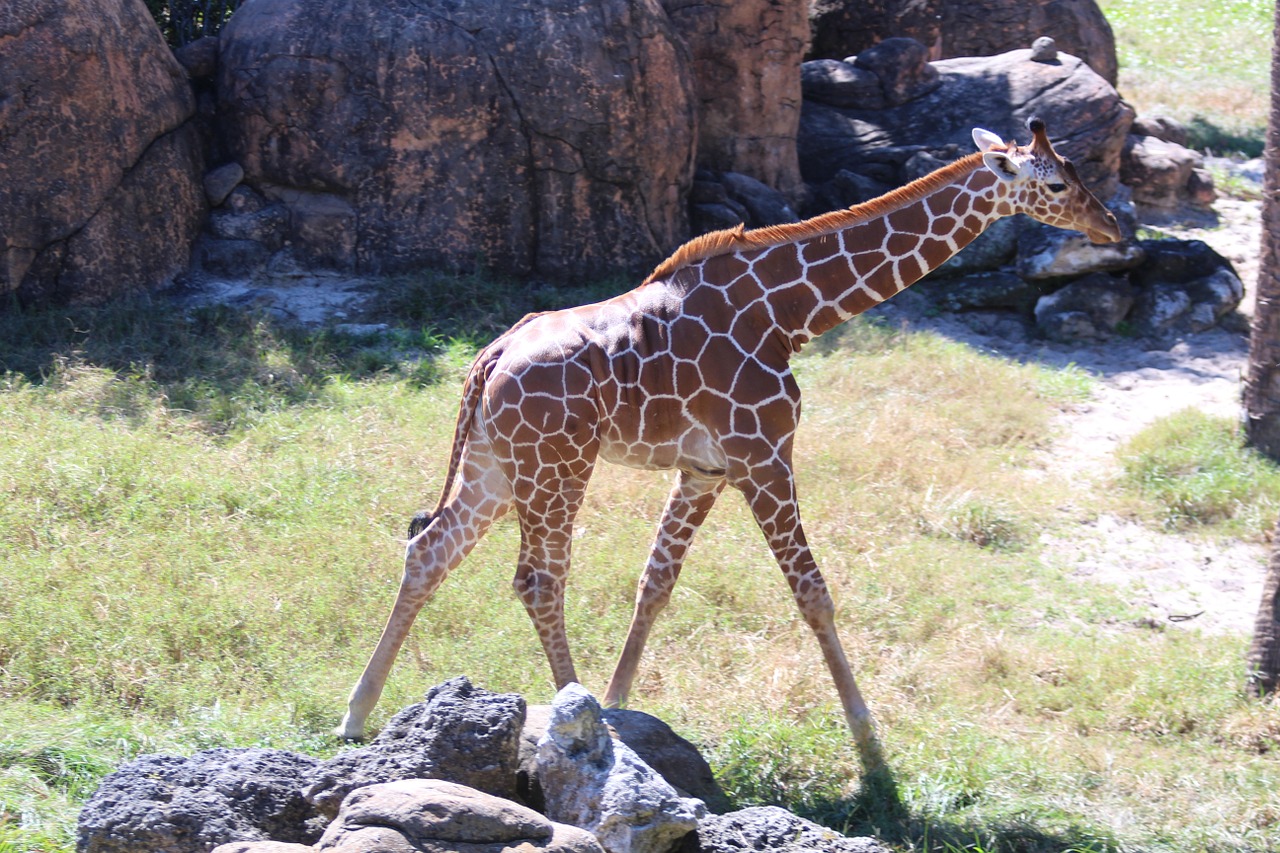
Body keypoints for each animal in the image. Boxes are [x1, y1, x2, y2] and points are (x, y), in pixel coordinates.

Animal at [337, 116, 1121, 768]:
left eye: (1078, 172)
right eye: (1057, 183)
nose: (1113, 227)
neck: (792, 314)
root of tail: (488, 357)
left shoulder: (705, 469)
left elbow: (655, 583)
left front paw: (621, 703)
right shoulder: (764, 454)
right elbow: (813, 593)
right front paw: (870, 746)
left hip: (497, 464)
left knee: (430, 548)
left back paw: (355, 716)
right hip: (557, 465)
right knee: (537, 579)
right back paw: (573, 714)